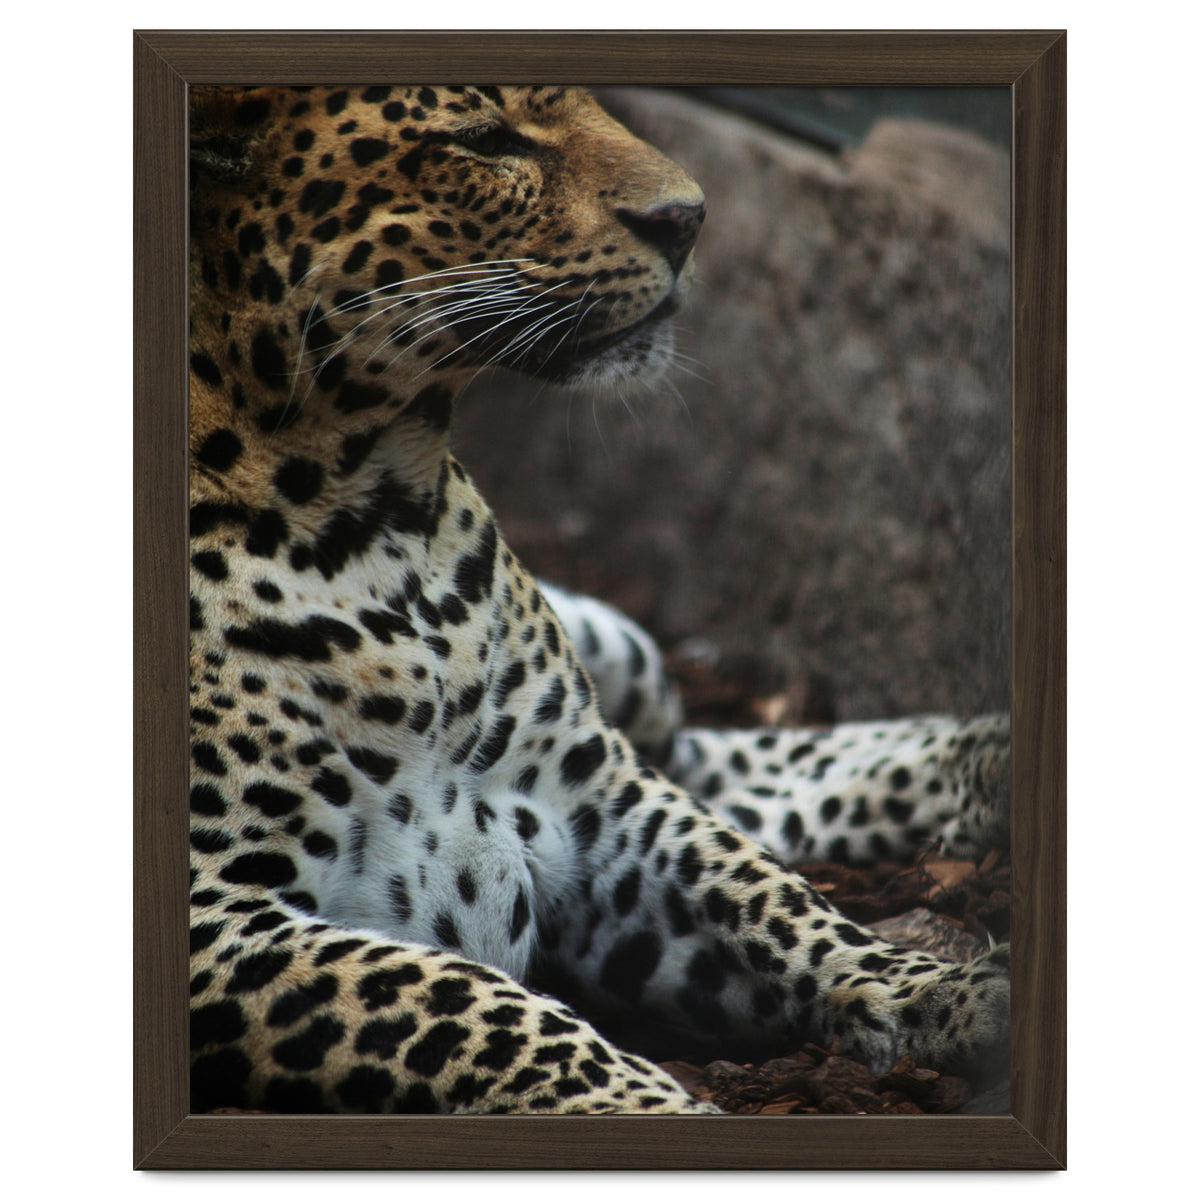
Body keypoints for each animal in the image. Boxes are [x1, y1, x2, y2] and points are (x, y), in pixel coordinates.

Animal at [188, 84, 1009, 1116]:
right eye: (483, 139)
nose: (689, 219)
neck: (378, 518)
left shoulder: (598, 803)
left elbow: (768, 894)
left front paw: (939, 990)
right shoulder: (218, 917)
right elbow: (467, 1000)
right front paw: (662, 1110)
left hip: (629, 667)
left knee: (713, 763)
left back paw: (987, 758)